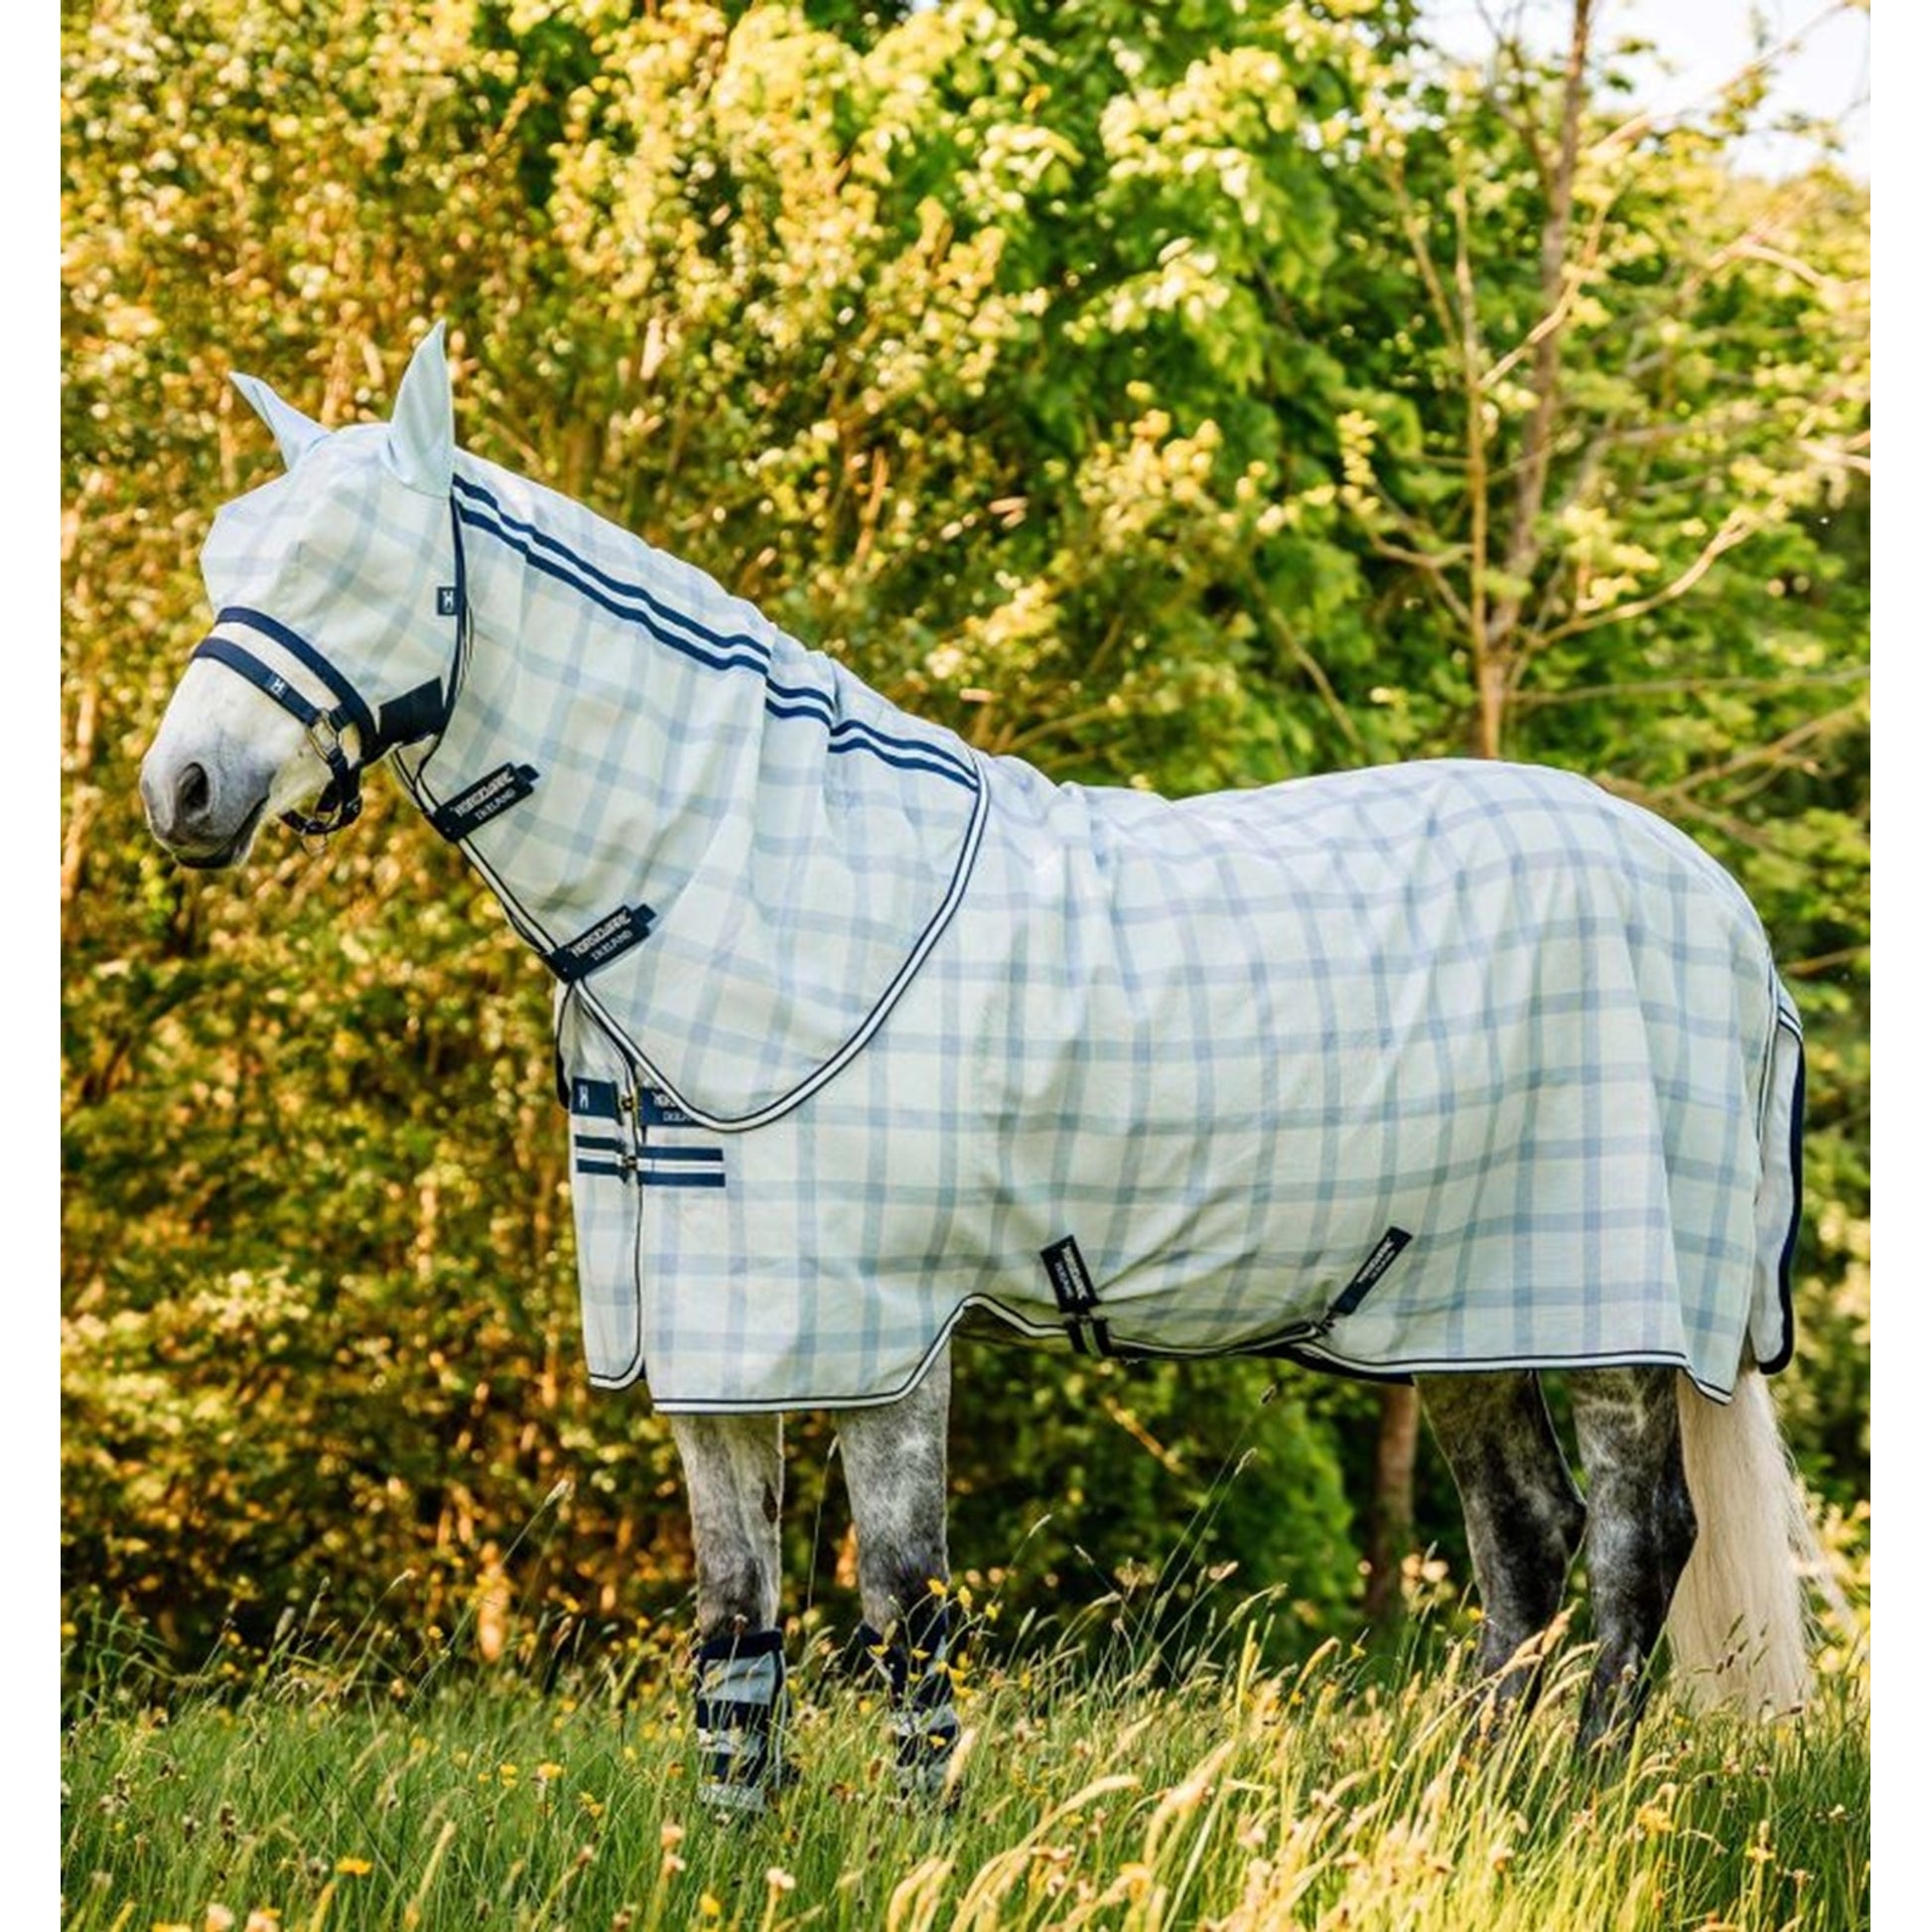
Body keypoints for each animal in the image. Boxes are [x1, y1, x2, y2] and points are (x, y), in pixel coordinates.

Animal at [140, 326, 1820, 1812]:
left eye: (353, 562)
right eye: (229, 557)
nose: (182, 791)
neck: (762, 872)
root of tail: (1716, 908)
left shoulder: (881, 1328)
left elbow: (900, 1609)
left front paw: (918, 1837)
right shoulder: (720, 1339)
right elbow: (734, 1623)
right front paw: (731, 1845)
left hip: (1607, 1317)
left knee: (1631, 1546)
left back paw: (1571, 1806)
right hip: (1455, 1310)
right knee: (1524, 1540)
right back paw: (1460, 1808)